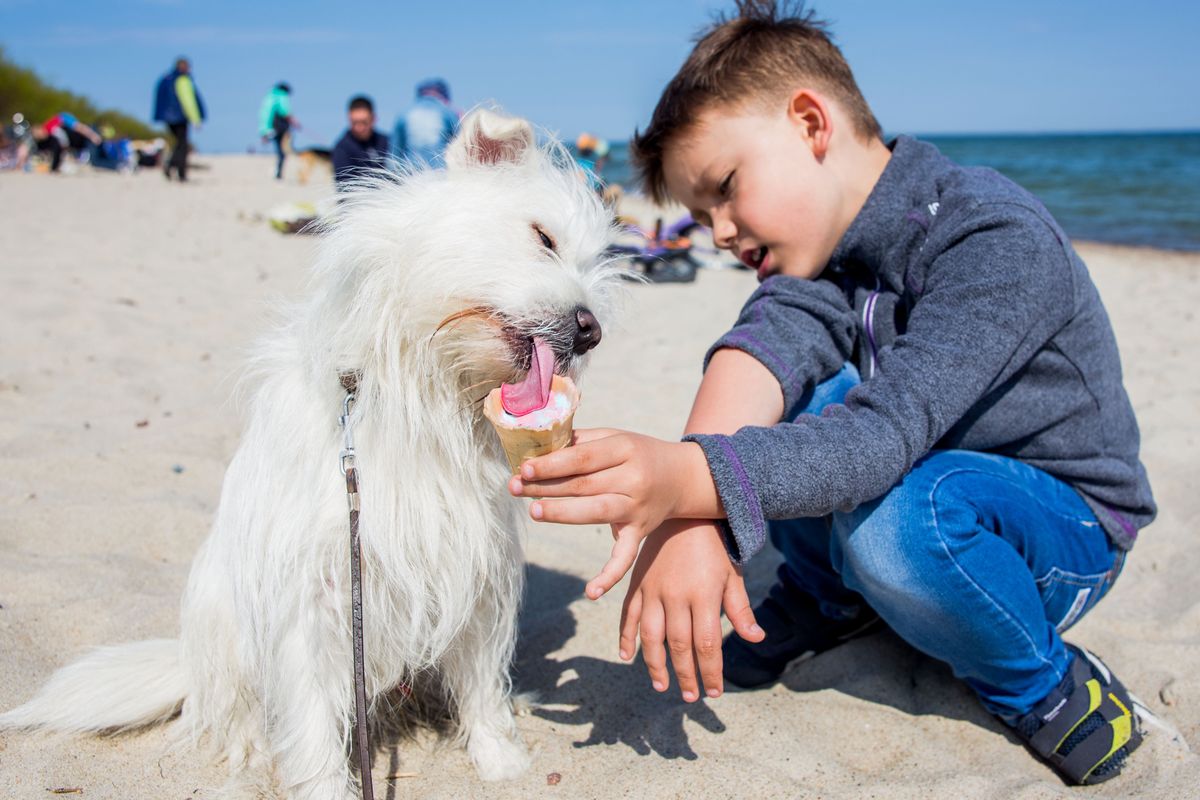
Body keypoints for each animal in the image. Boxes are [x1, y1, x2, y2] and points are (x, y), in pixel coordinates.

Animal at [0, 109, 619, 796]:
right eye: (543, 238)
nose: (590, 331)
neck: (418, 397)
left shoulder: (475, 571)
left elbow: (482, 684)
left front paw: (501, 762)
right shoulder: (314, 596)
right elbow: (315, 721)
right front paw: (324, 785)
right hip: (221, 619)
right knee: (233, 707)